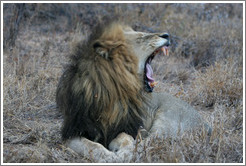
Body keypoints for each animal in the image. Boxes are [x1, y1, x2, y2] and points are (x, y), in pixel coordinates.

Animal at [56, 20, 211, 161]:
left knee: (153, 140)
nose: (167, 35)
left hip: (168, 119)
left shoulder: (128, 127)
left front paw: (123, 152)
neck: (113, 91)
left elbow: (126, 138)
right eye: (141, 37)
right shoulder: (73, 131)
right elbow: (92, 146)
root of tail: (205, 122)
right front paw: (108, 156)